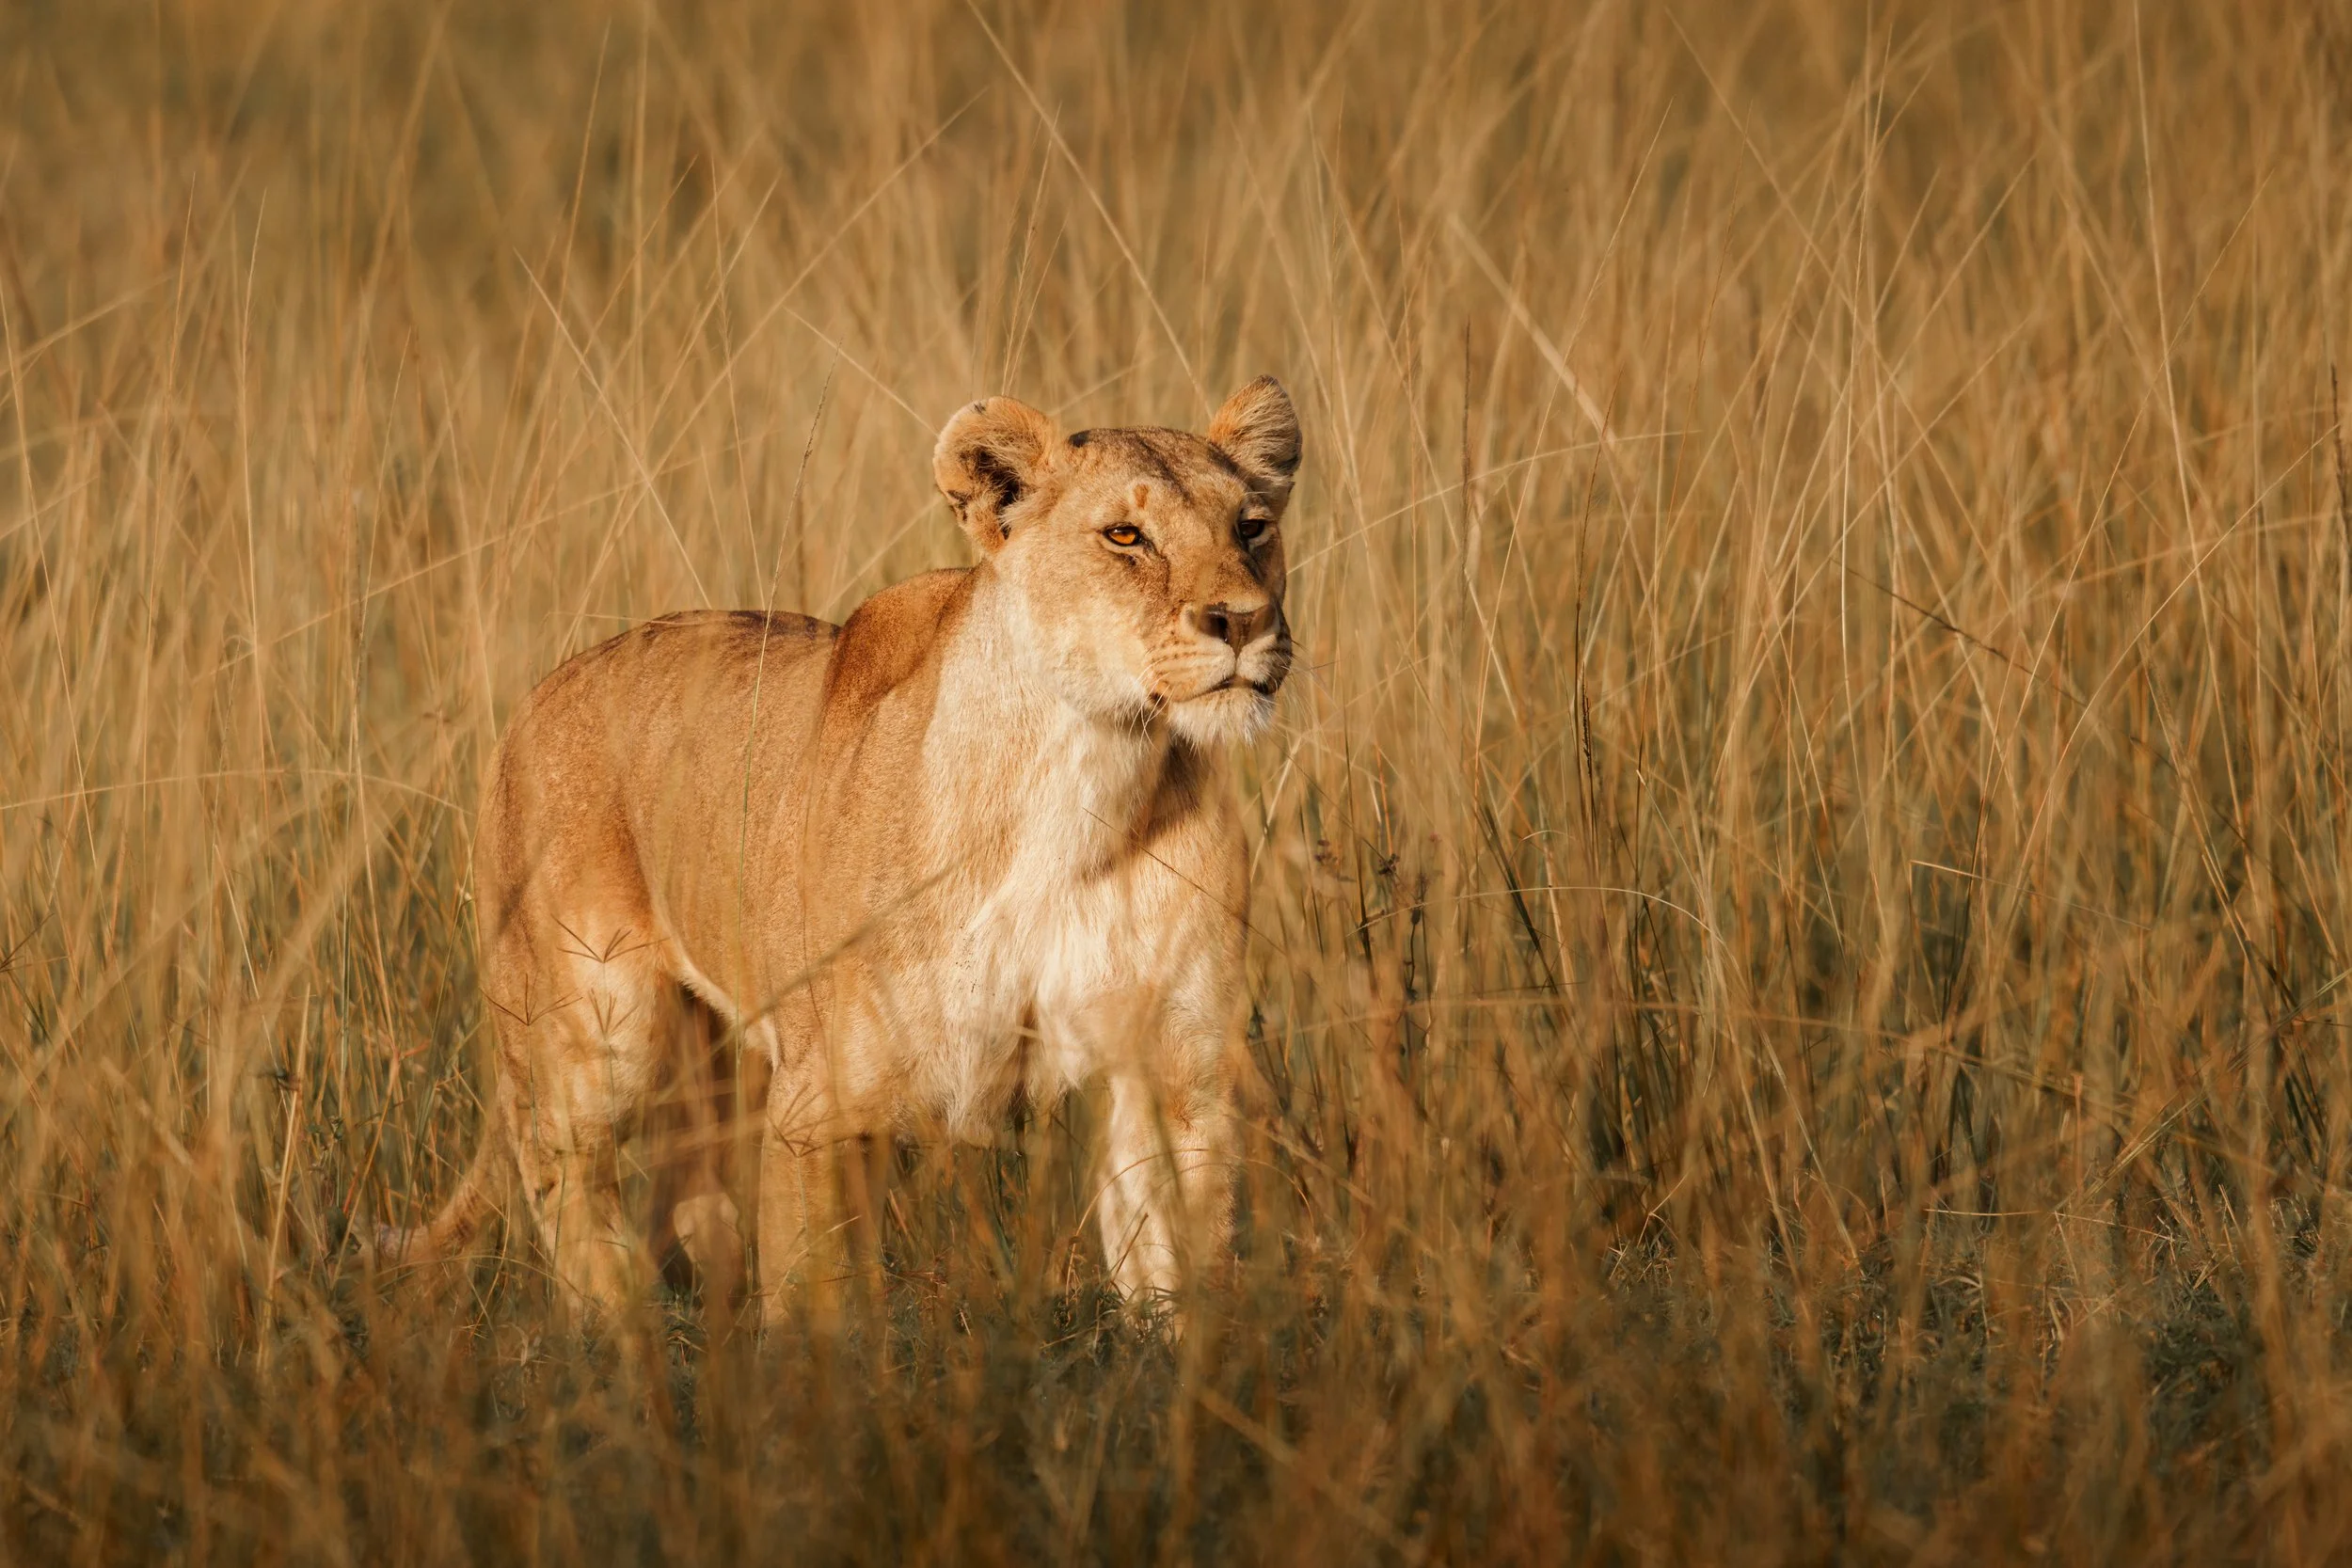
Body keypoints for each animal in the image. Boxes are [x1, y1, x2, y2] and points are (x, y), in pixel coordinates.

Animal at [377, 376, 1301, 1325]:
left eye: (1251, 526)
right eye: (1125, 535)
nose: (1244, 621)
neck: (1085, 773)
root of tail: (537, 693)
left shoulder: (1180, 1070)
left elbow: (1178, 1276)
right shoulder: (817, 1103)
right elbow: (811, 1307)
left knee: (685, 1194)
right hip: (598, 1028)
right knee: (559, 1166)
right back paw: (615, 1328)